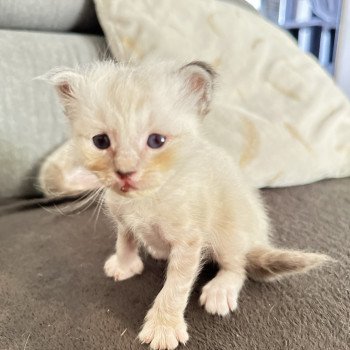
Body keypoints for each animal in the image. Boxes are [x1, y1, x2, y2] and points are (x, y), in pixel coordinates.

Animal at [42, 60, 330, 350]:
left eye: (156, 141)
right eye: (101, 141)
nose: (125, 172)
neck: (147, 199)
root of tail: (257, 239)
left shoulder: (189, 240)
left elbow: (176, 286)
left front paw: (163, 327)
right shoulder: (123, 219)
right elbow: (125, 239)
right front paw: (124, 264)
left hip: (229, 233)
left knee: (238, 265)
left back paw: (220, 290)